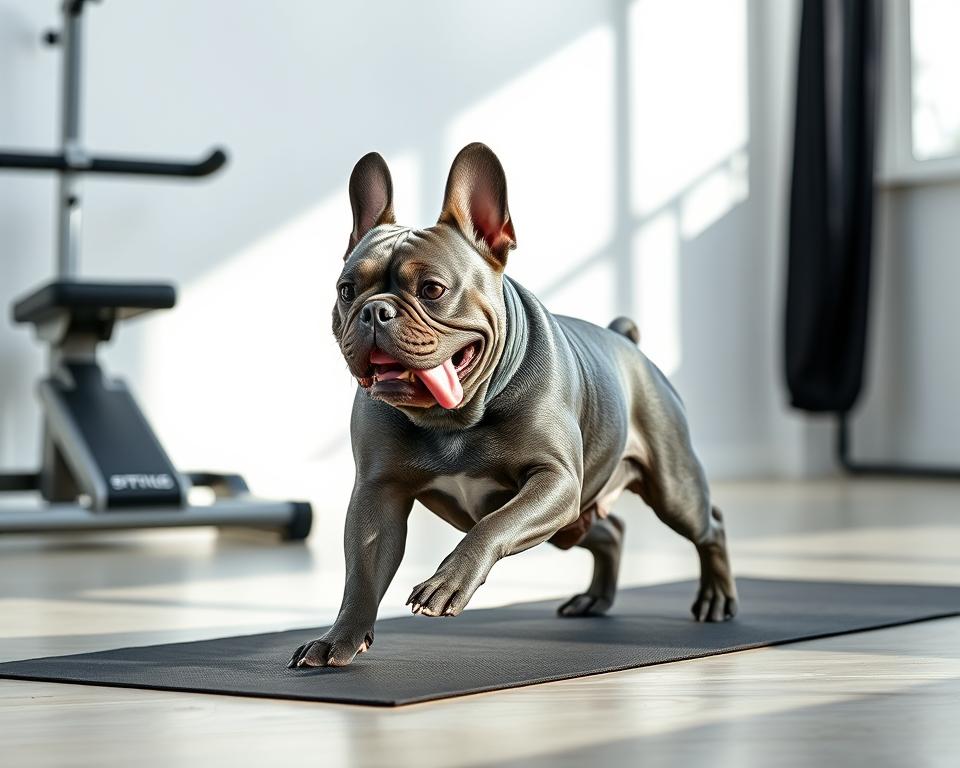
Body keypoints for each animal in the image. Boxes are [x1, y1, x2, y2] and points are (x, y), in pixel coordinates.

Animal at [288, 142, 740, 664]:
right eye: (346, 291)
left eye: (432, 290)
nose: (374, 311)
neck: (455, 416)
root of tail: (625, 339)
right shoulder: (377, 494)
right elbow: (361, 575)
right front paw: (338, 639)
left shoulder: (555, 481)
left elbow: (492, 525)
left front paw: (446, 583)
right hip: (572, 522)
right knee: (610, 532)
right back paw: (595, 598)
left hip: (671, 490)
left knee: (710, 526)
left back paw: (716, 598)